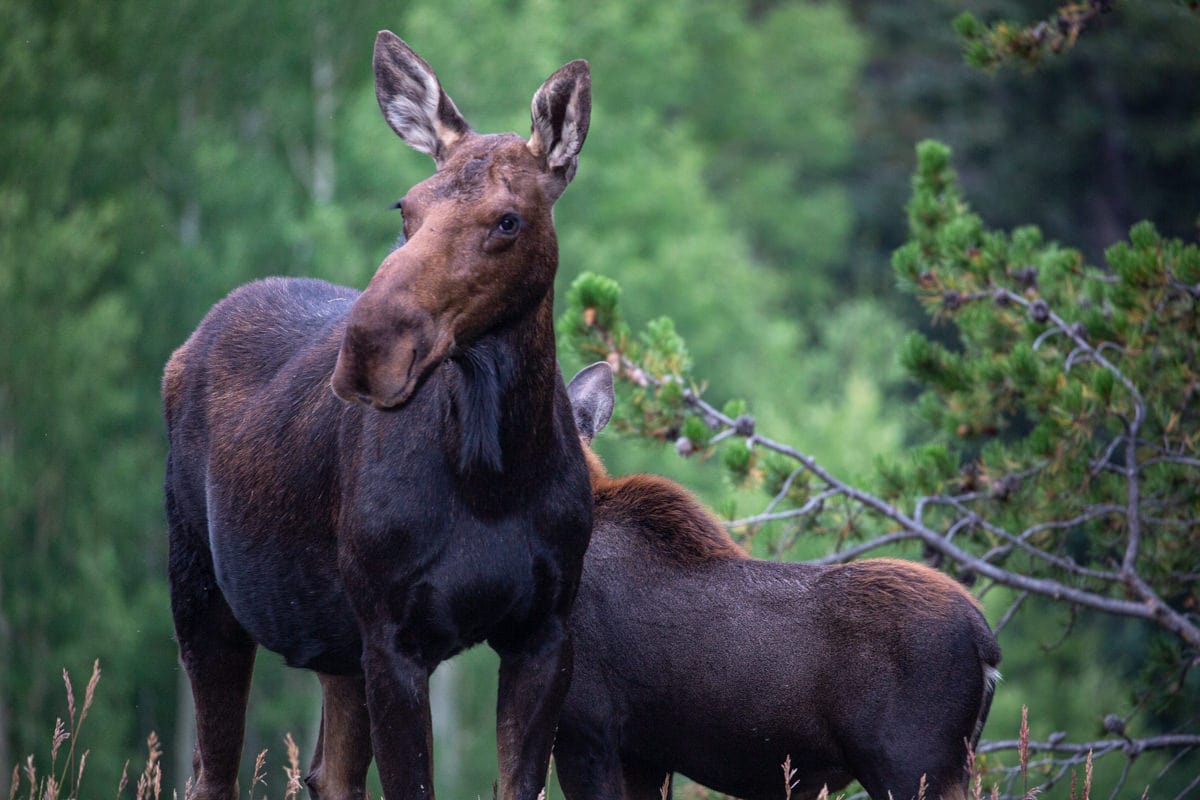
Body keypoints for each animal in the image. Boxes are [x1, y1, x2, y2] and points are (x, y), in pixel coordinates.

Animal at [161, 31, 592, 800]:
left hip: (332, 641)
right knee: (212, 773)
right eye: (405, 208)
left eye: (507, 220)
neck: (495, 474)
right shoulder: (394, 638)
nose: (368, 348)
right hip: (203, 596)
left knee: (327, 773)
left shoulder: (544, 632)